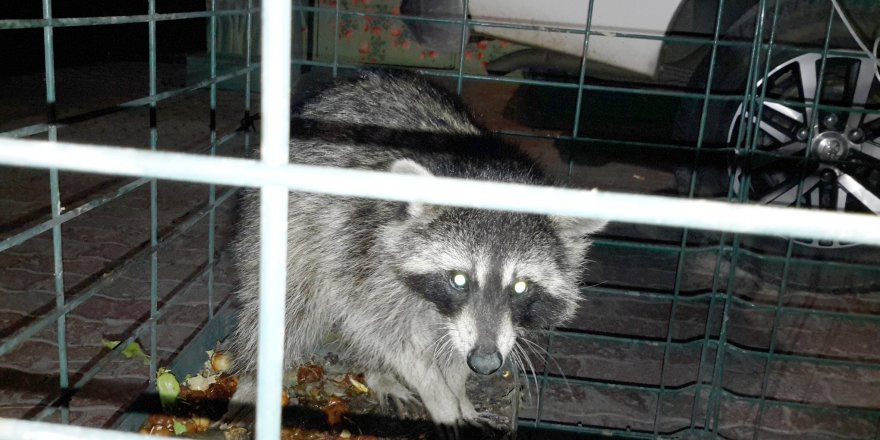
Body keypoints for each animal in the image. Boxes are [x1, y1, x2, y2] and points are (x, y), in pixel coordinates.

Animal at [227, 71, 604, 426]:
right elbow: (383, 331)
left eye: (521, 286)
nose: (485, 364)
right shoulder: (365, 250)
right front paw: (439, 395)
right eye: (459, 279)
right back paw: (254, 378)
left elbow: (453, 347)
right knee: (289, 305)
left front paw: (459, 390)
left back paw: (377, 372)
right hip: (291, 233)